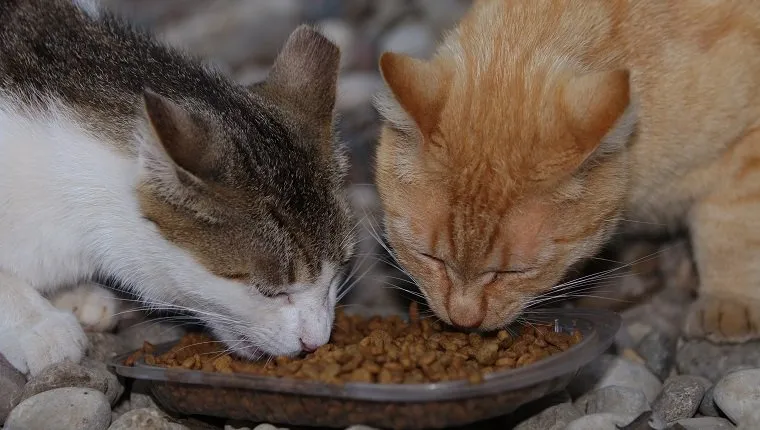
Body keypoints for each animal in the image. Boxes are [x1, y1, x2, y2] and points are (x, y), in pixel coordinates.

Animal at [372, 0, 760, 342]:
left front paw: (729, 301)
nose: (463, 320)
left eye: (515, 271)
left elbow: (730, 230)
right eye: (429, 257)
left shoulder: (746, 148)